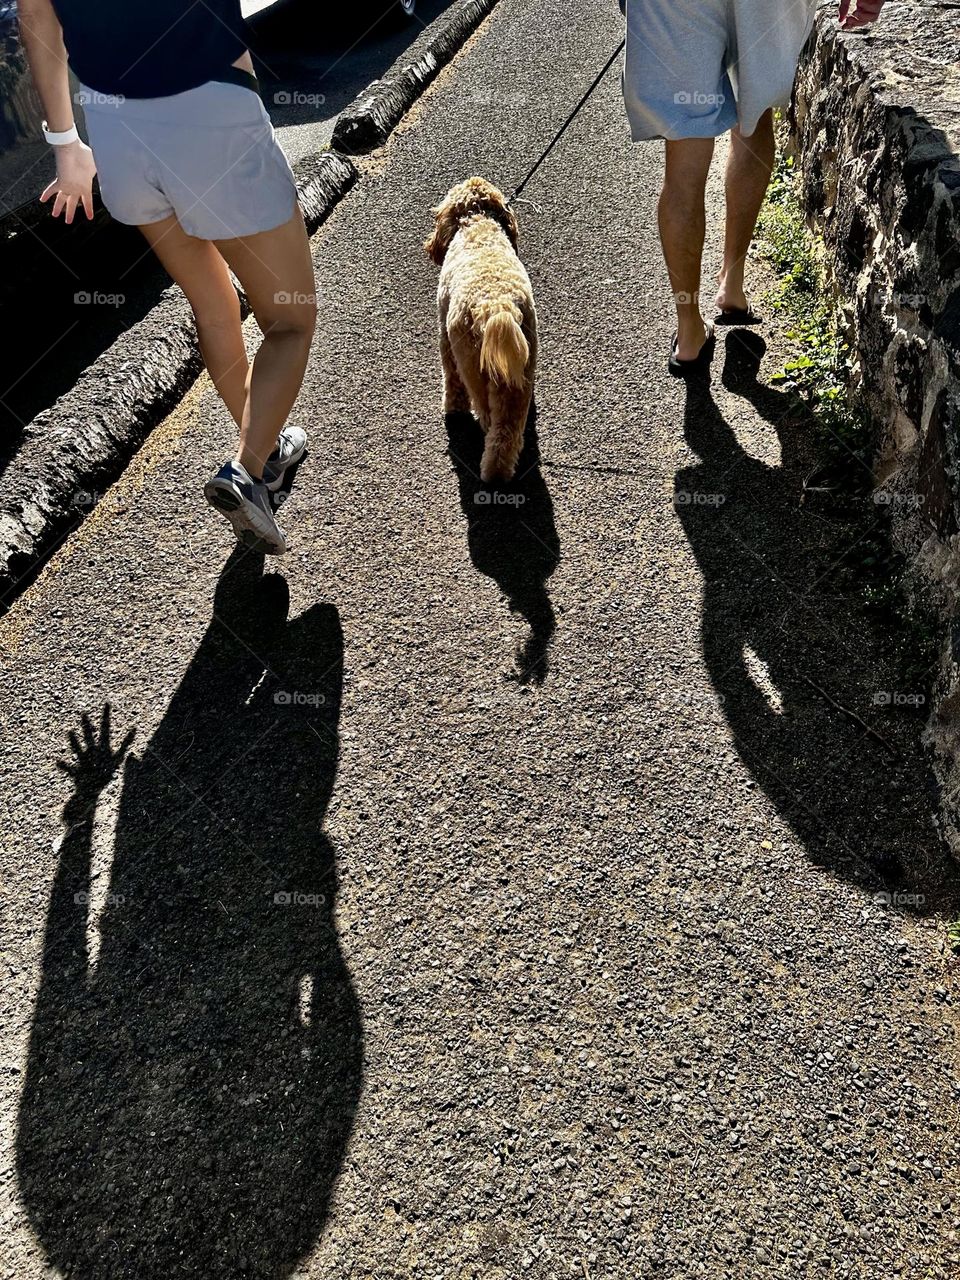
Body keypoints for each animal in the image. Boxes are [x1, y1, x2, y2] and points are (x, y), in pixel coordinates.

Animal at [424, 175, 537, 483]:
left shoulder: (445, 335)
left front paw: (453, 406)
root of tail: (496, 305)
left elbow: (450, 377)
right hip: (520, 367)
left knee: (488, 416)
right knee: (508, 428)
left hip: (472, 364)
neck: (478, 222)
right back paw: (501, 470)